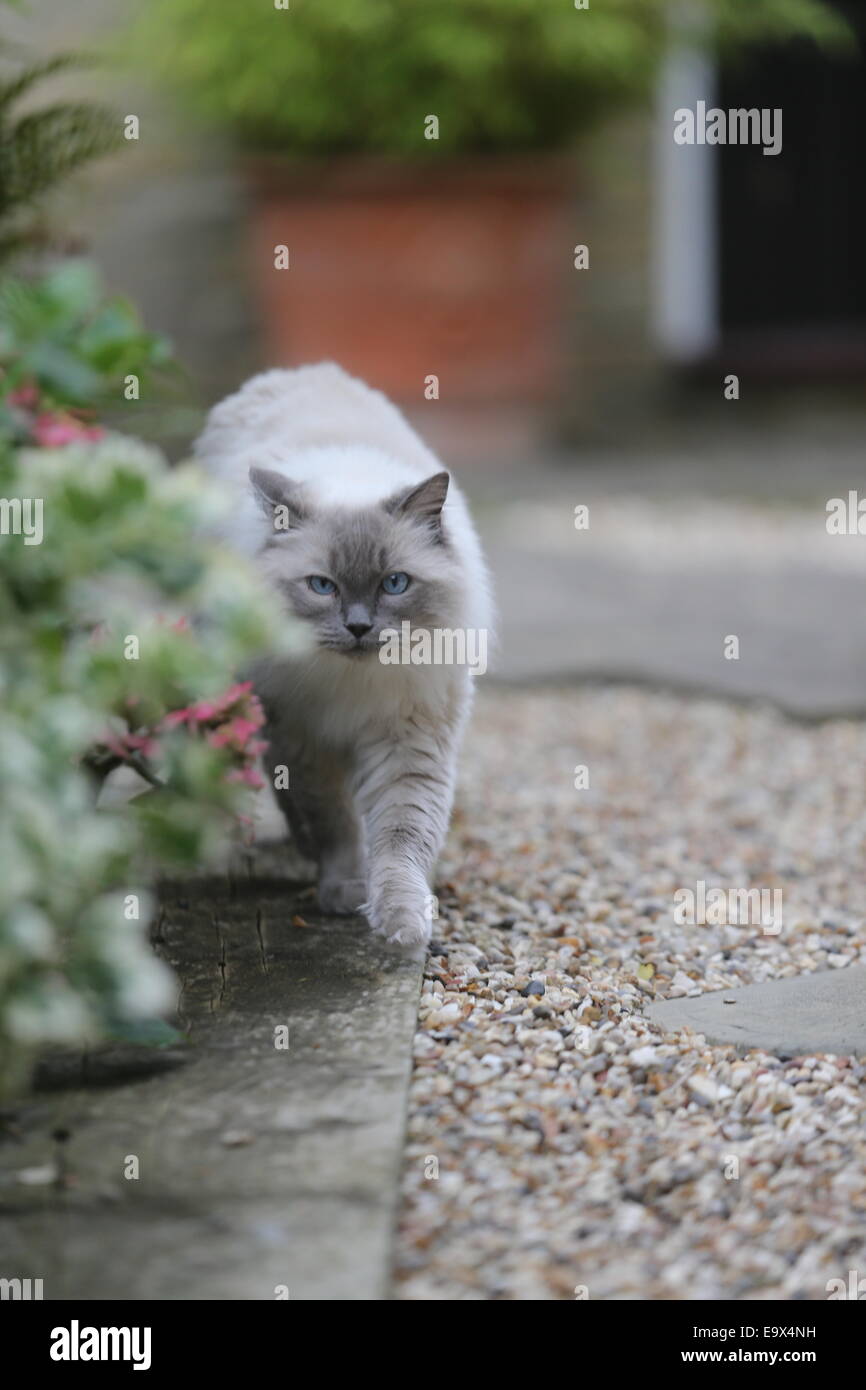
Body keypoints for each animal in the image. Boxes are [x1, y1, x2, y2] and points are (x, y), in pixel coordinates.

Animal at [197, 361, 494, 945]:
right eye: (322, 586)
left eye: (394, 584)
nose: (358, 627)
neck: (355, 683)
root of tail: (300, 372)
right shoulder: (304, 739)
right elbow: (336, 823)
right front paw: (344, 890)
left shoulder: (408, 741)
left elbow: (401, 839)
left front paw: (402, 921)